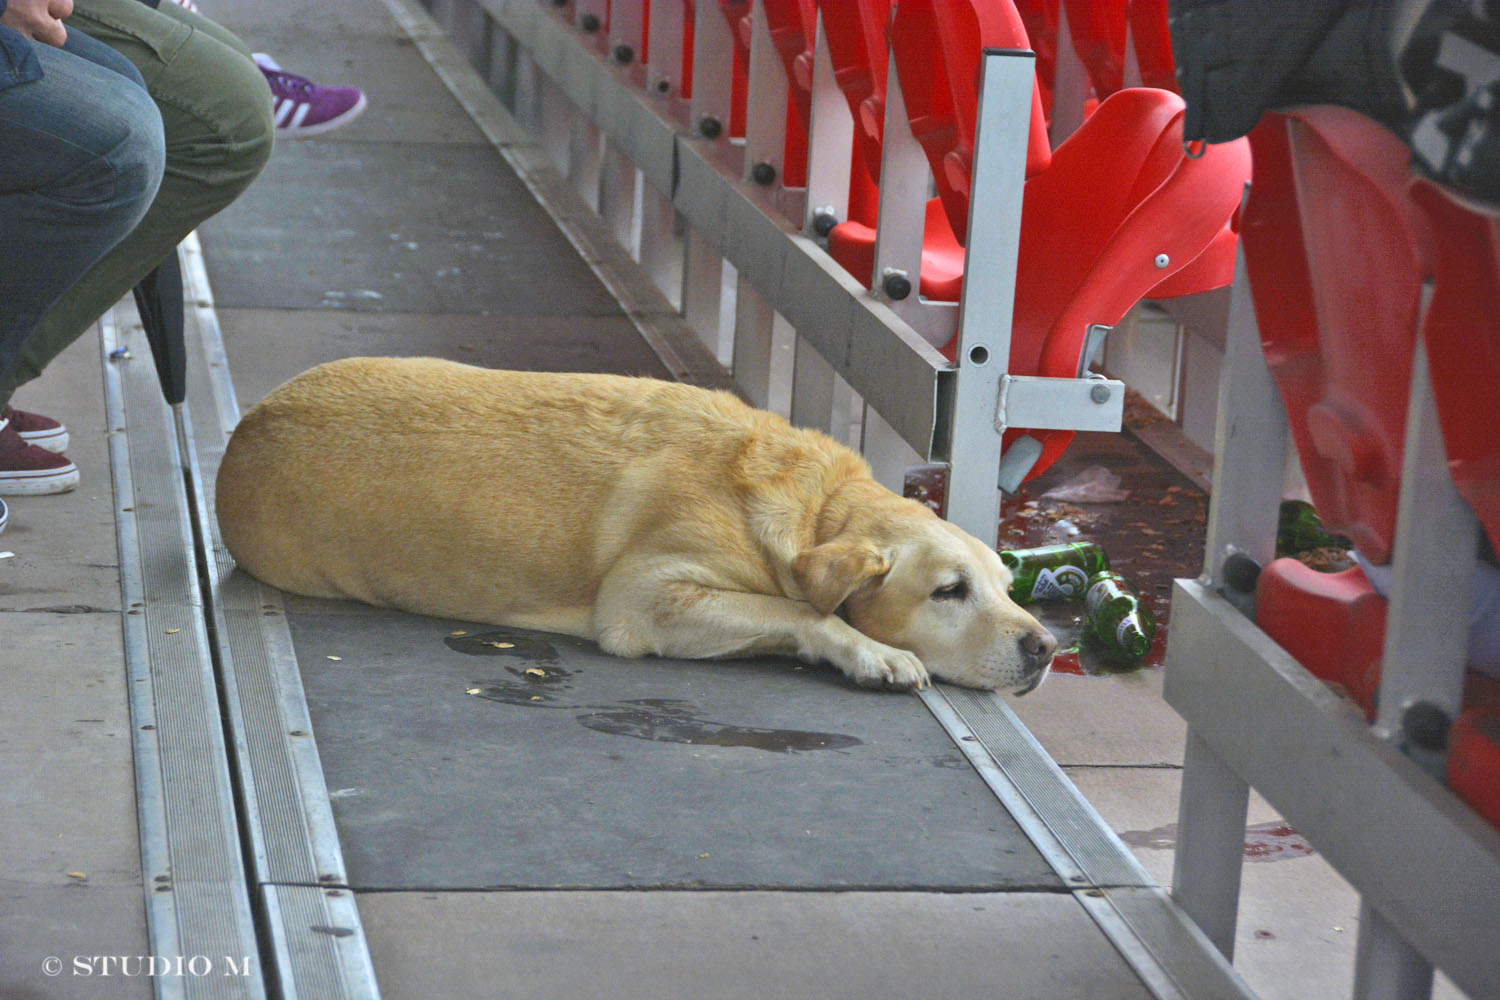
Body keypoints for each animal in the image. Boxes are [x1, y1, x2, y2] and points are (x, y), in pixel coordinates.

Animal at [217, 355, 1062, 692]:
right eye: (949, 591)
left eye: (1006, 583)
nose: (1046, 647)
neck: (819, 501)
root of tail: (247, 427)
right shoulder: (646, 596)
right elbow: (799, 610)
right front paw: (870, 652)